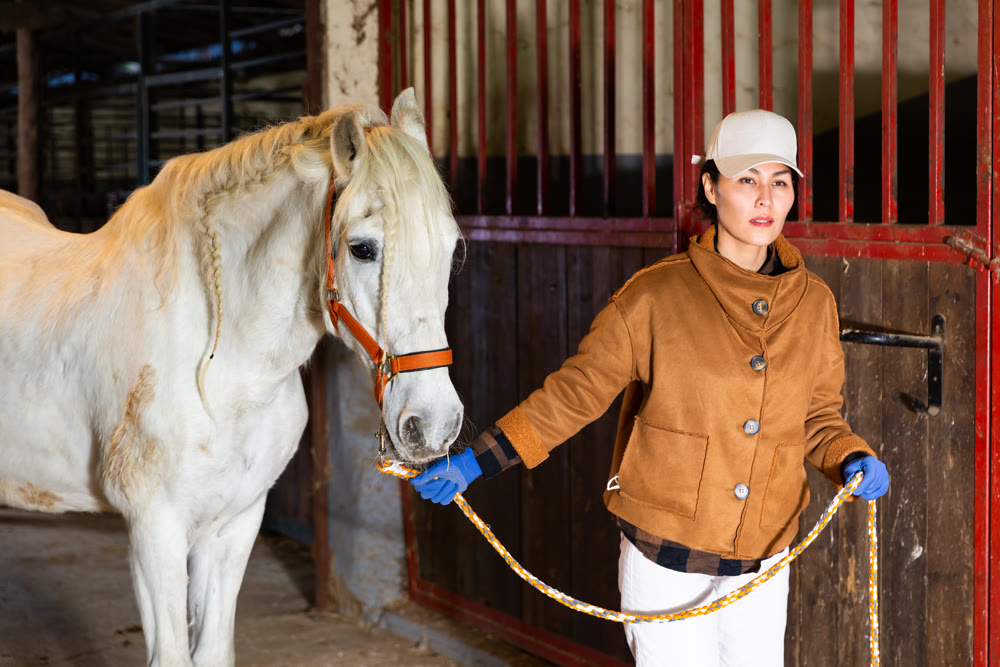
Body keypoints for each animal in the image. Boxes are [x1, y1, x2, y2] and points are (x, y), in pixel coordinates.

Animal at [0, 88, 463, 666]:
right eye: (362, 248)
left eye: (452, 248)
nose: (435, 424)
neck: (223, 374)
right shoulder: (154, 530)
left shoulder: (235, 524)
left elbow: (215, 649)